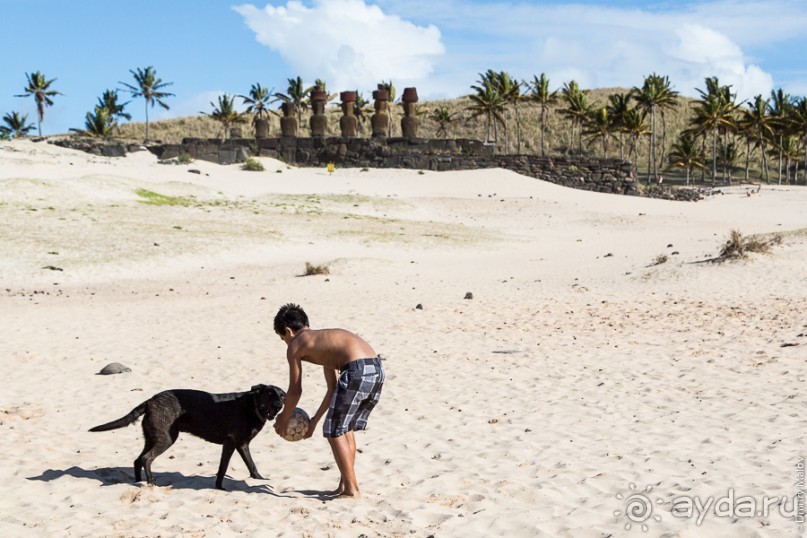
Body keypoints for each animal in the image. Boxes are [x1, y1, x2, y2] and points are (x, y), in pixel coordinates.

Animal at [90, 382, 286, 490]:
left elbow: (251, 465)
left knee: (138, 460)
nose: (278, 405)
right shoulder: (230, 443)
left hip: (153, 438)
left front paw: (260, 479)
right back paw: (152, 482)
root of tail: (150, 401)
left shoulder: (242, 445)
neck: (253, 407)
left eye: (283, 396)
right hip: (166, 439)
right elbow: (223, 468)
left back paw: (140, 482)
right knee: (146, 459)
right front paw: (219, 487)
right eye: (269, 393)